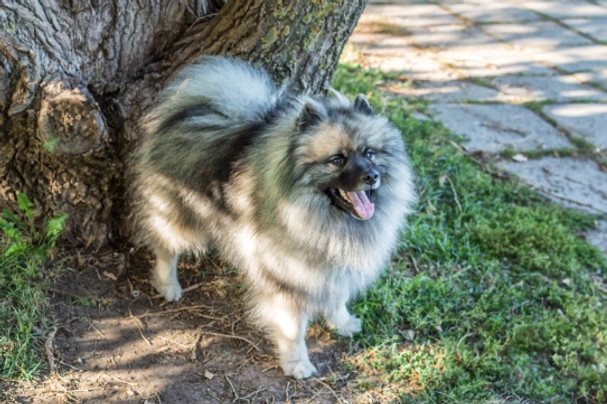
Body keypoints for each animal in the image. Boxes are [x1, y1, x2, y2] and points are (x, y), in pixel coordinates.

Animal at [132, 56, 418, 378]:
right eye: (336, 160)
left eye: (369, 153)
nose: (371, 176)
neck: (324, 217)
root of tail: (192, 109)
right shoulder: (287, 280)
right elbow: (293, 330)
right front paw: (297, 363)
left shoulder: (333, 265)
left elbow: (337, 297)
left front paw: (342, 322)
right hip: (178, 215)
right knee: (165, 248)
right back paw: (168, 285)